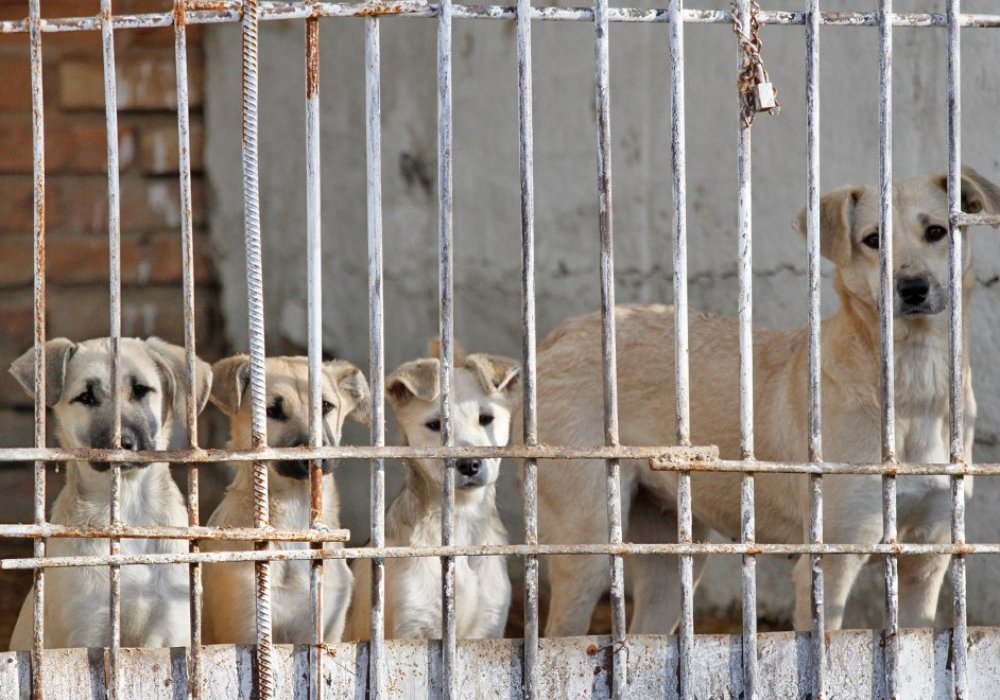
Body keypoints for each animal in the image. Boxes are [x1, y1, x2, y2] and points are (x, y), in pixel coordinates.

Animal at [7, 336, 212, 648]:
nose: (122, 443)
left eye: (140, 390)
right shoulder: (87, 633)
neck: (127, 506)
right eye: (85, 398)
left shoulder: (168, 629)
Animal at [346, 342, 520, 644]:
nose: (470, 464)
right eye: (435, 425)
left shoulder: (487, 629)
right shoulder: (410, 631)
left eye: (486, 418)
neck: (460, 518)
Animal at [532, 168, 1000, 636]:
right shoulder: (829, 566)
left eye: (936, 232)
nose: (912, 288)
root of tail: (560, 335)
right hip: (588, 550)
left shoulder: (928, 561)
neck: (915, 386)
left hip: (675, 559)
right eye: (873, 239)